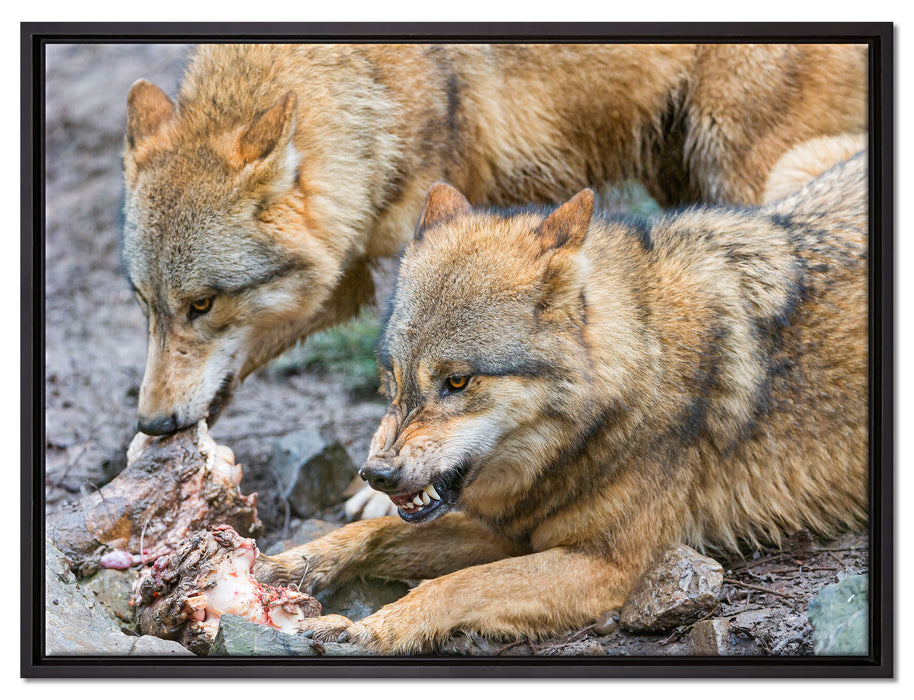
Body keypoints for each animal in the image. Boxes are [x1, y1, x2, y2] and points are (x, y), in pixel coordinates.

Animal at [122, 43, 867, 442]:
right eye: (146, 306)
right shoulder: (349, 269)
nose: (152, 424)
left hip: (745, 168)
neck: (374, 90)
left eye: (202, 305)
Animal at [253, 148, 869, 654]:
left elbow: (456, 585)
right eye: (393, 376)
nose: (376, 473)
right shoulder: (505, 531)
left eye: (458, 382)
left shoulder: (608, 567)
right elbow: (375, 536)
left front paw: (373, 628)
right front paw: (290, 562)